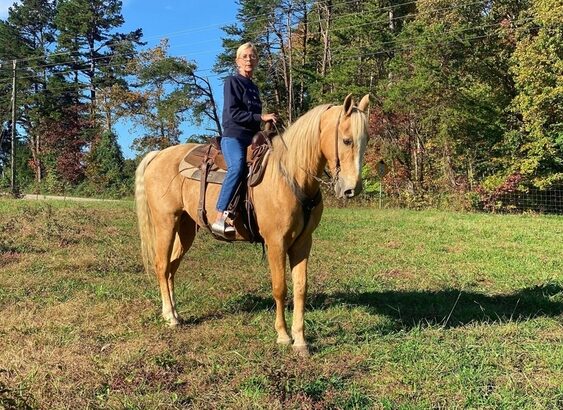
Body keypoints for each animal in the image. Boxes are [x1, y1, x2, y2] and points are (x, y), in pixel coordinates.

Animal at [137, 93, 372, 356]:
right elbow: (280, 288)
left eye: (366, 140)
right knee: (161, 266)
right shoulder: (276, 242)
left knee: (171, 267)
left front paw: (300, 341)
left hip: (186, 227)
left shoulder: (303, 243)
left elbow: (300, 288)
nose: (352, 189)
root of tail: (158, 155)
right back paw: (170, 317)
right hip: (166, 223)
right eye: (346, 140)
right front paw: (283, 336)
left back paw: (175, 313)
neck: (289, 175)